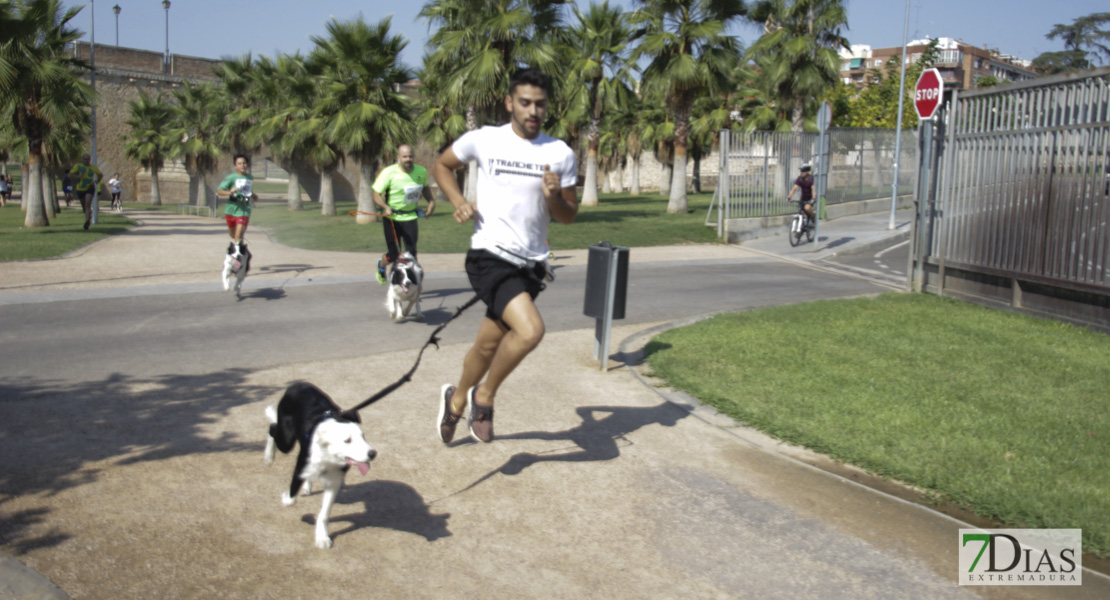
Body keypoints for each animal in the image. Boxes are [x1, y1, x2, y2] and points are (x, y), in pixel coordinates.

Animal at [264, 383, 377, 547]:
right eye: (347, 440)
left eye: (363, 436)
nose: (373, 453)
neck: (328, 456)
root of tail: (297, 384)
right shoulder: (301, 468)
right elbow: (291, 498)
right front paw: (286, 498)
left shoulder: (334, 480)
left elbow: (325, 512)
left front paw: (322, 537)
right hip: (286, 440)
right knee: (273, 428)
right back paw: (268, 456)